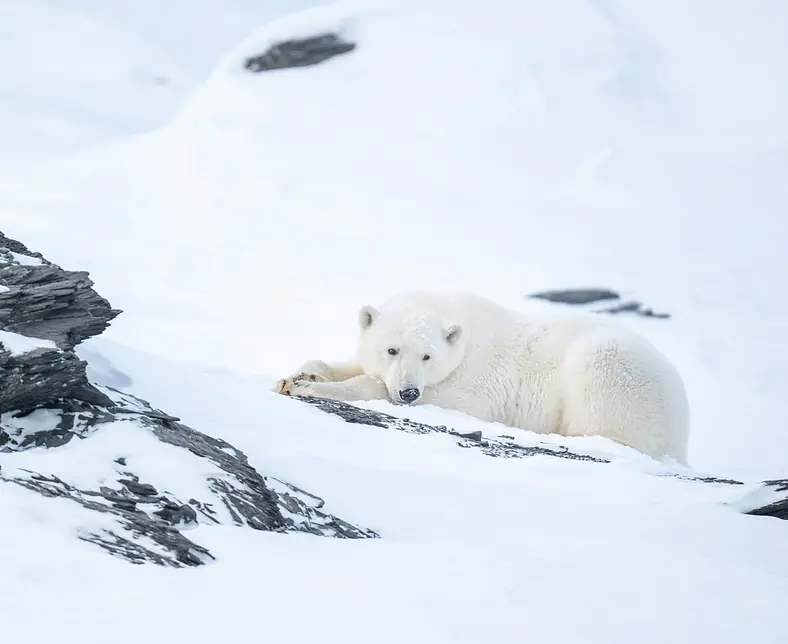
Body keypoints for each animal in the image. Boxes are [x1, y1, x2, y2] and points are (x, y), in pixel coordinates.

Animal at [276, 290, 688, 462]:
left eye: (427, 355)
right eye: (391, 350)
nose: (408, 392)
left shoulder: (475, 380)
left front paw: (311, 387)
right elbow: (354, 363)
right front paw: (297, 375)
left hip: (611, 370)